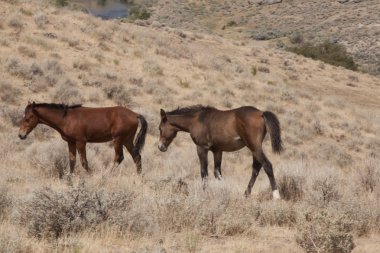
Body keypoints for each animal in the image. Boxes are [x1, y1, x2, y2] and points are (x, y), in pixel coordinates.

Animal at [18, 102, 147, 177]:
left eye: (29, 118)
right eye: (23, 116)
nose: (21, 135)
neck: (66, 119)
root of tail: (135, 114)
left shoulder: (81, 142)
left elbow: (84, 162)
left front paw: (89, 176)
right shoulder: (70, 142)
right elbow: (72, 161)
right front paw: (70, 179)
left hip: (118, 140)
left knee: (119, 157)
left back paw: (106, 175)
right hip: (127, 140)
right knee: (136, 156)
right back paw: (139, 177)